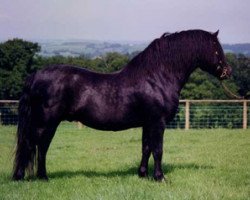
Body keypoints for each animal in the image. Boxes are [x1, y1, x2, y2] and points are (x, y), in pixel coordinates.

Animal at [12, 29, 231, 181]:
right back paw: (29, 177)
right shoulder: (157, 122)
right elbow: (158, 150)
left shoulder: (147, 123)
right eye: (216, 49)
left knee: (40, 147)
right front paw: (160, 177)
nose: (228, 71)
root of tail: (35, 76)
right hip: (45, 123)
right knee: (35, 145)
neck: (157, 77)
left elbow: (146, 148)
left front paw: (142, 175)